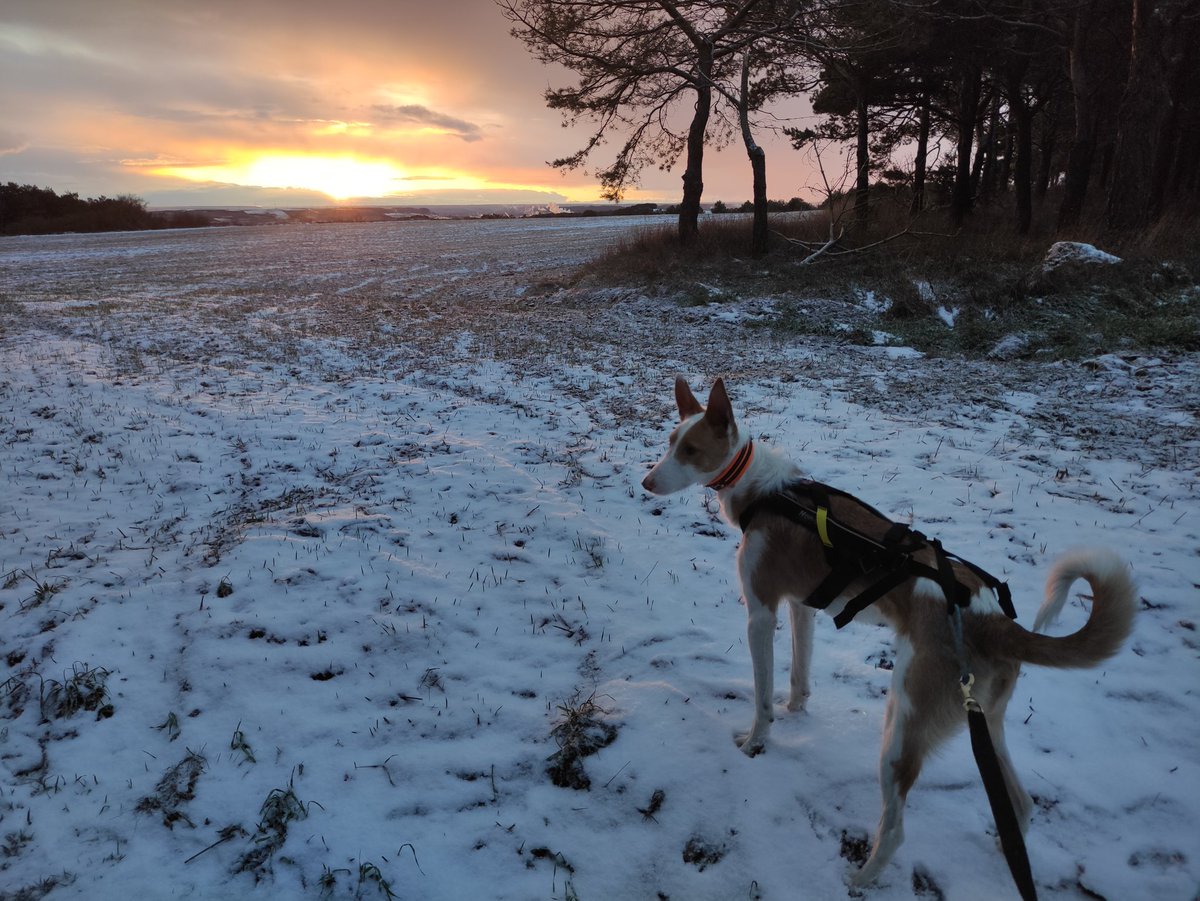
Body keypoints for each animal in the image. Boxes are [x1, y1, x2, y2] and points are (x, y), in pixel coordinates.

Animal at [638, 376, 1132, 883]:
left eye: (691, 450)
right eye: (670, 442)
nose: (646, 482)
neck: (766, 492)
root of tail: (990, 617)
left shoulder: (761, 613)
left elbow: (761, 697)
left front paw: (757, 741)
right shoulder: (801, 607)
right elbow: (799, 674)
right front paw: (796, 710)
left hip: (902, 726)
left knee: (895, 829)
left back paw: (860, 878)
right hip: (987, 723)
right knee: (1023, 803)